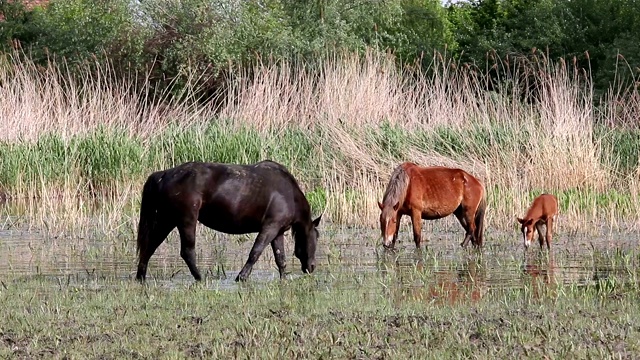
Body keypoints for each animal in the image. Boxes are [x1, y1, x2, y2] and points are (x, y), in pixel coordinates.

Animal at [134, 160, 320, 282]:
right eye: (316, 237)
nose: (312, 267)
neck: (289, 194)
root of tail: (164, 174)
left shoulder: (278, 231)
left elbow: (280, 259)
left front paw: (284, 279)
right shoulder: (270, 227)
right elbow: (255, 252)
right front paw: (241, 277)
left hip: (167, 219)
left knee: (150, 246)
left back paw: (141, 277)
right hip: (186, 220)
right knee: (187, 251)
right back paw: (200, 278)